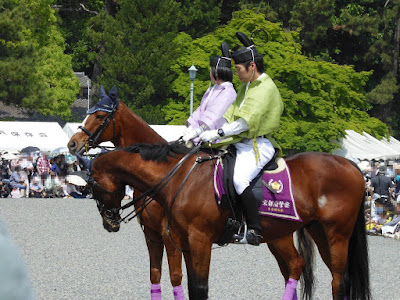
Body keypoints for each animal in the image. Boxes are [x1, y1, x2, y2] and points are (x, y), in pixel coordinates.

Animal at [86, 142, 368, 300]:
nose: (109, 222)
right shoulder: (183, 243)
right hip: (316, 233)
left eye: (93, 185)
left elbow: (200, 287)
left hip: (337, 235)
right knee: (308, 270)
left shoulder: (198, 240)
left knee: (338, 282)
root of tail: (350, 164)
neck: (180, 178)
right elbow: (189, 285)